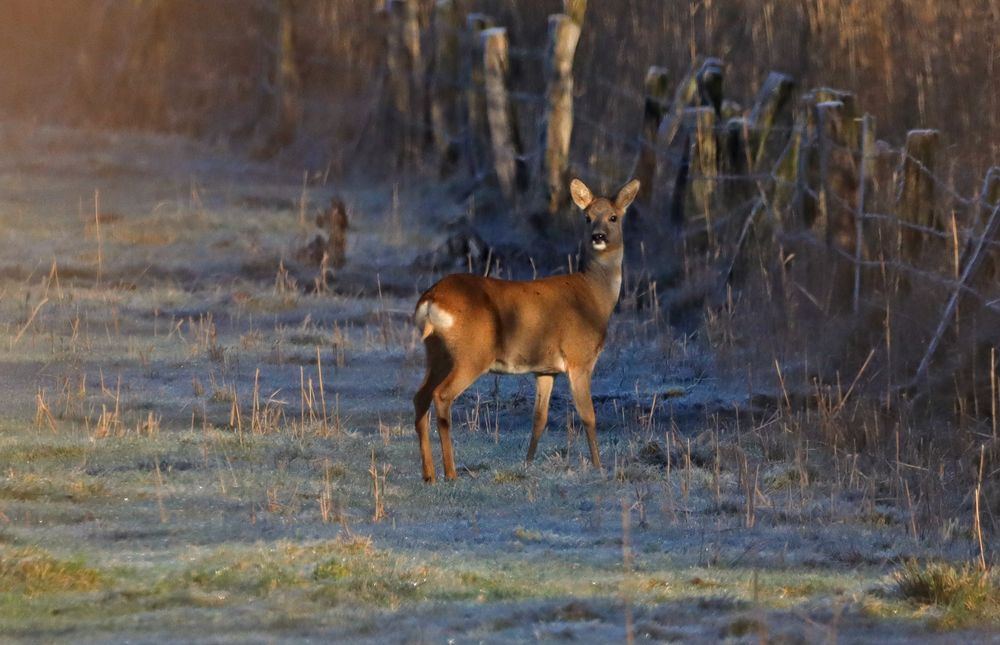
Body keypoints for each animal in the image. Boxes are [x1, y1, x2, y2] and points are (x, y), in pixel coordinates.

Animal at [412, 179, 640, 480]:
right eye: (587, 217)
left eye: (613, 217)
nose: (598, 236)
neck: (594, 296)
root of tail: (431, 299)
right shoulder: (580, 358)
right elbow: (588, 416)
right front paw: (598, 466)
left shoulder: (545, 369)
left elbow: (539, 418)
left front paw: (528, 464)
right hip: (471, 354)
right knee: (442, 396)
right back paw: (451, 473)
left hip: (436, 352)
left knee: (420, 397)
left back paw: (429, 475)